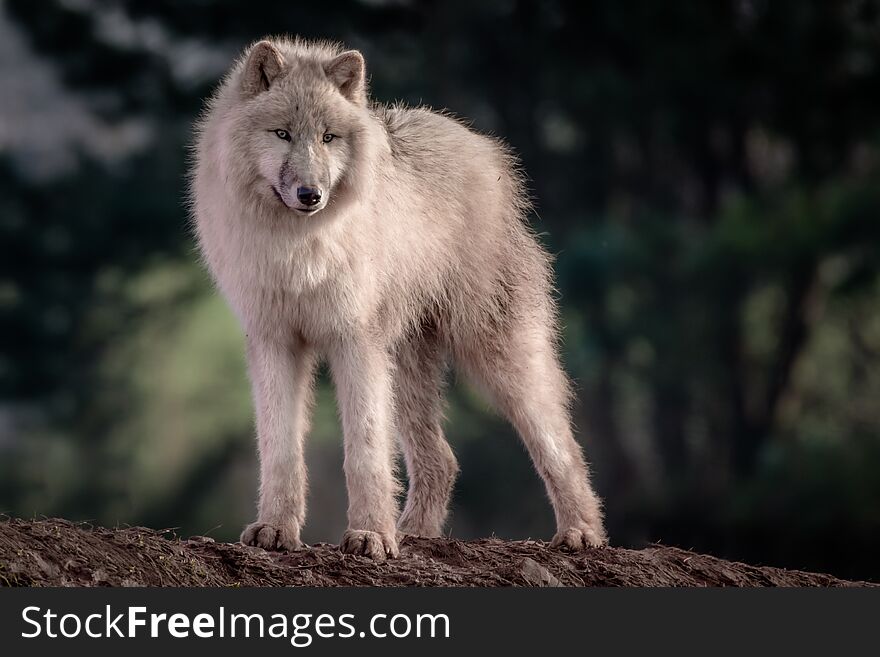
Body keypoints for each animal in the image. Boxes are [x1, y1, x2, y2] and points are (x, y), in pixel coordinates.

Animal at [190, 37, 608, 560]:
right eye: (282, 134)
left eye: (328, 137)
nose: (311, 194)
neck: (297, 250)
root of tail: (485, 150)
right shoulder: (274, 342)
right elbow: (280, 450)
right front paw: (275, 529)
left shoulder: (355, 342)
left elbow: (365, 452)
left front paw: (370, 536)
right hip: (406, 368)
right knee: (444, 458)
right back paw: (414, 532)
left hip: (494, 356)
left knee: (561, 445)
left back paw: (582, 532)